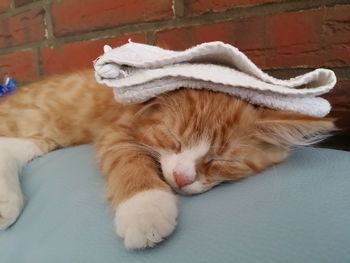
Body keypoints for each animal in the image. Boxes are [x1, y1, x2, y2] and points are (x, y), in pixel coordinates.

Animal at [0, 69, 334, 250]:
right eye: (174, 140)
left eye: (220, 160)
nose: (183, 179)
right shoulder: (115, 132)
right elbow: (129, 158)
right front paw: (144, 209)